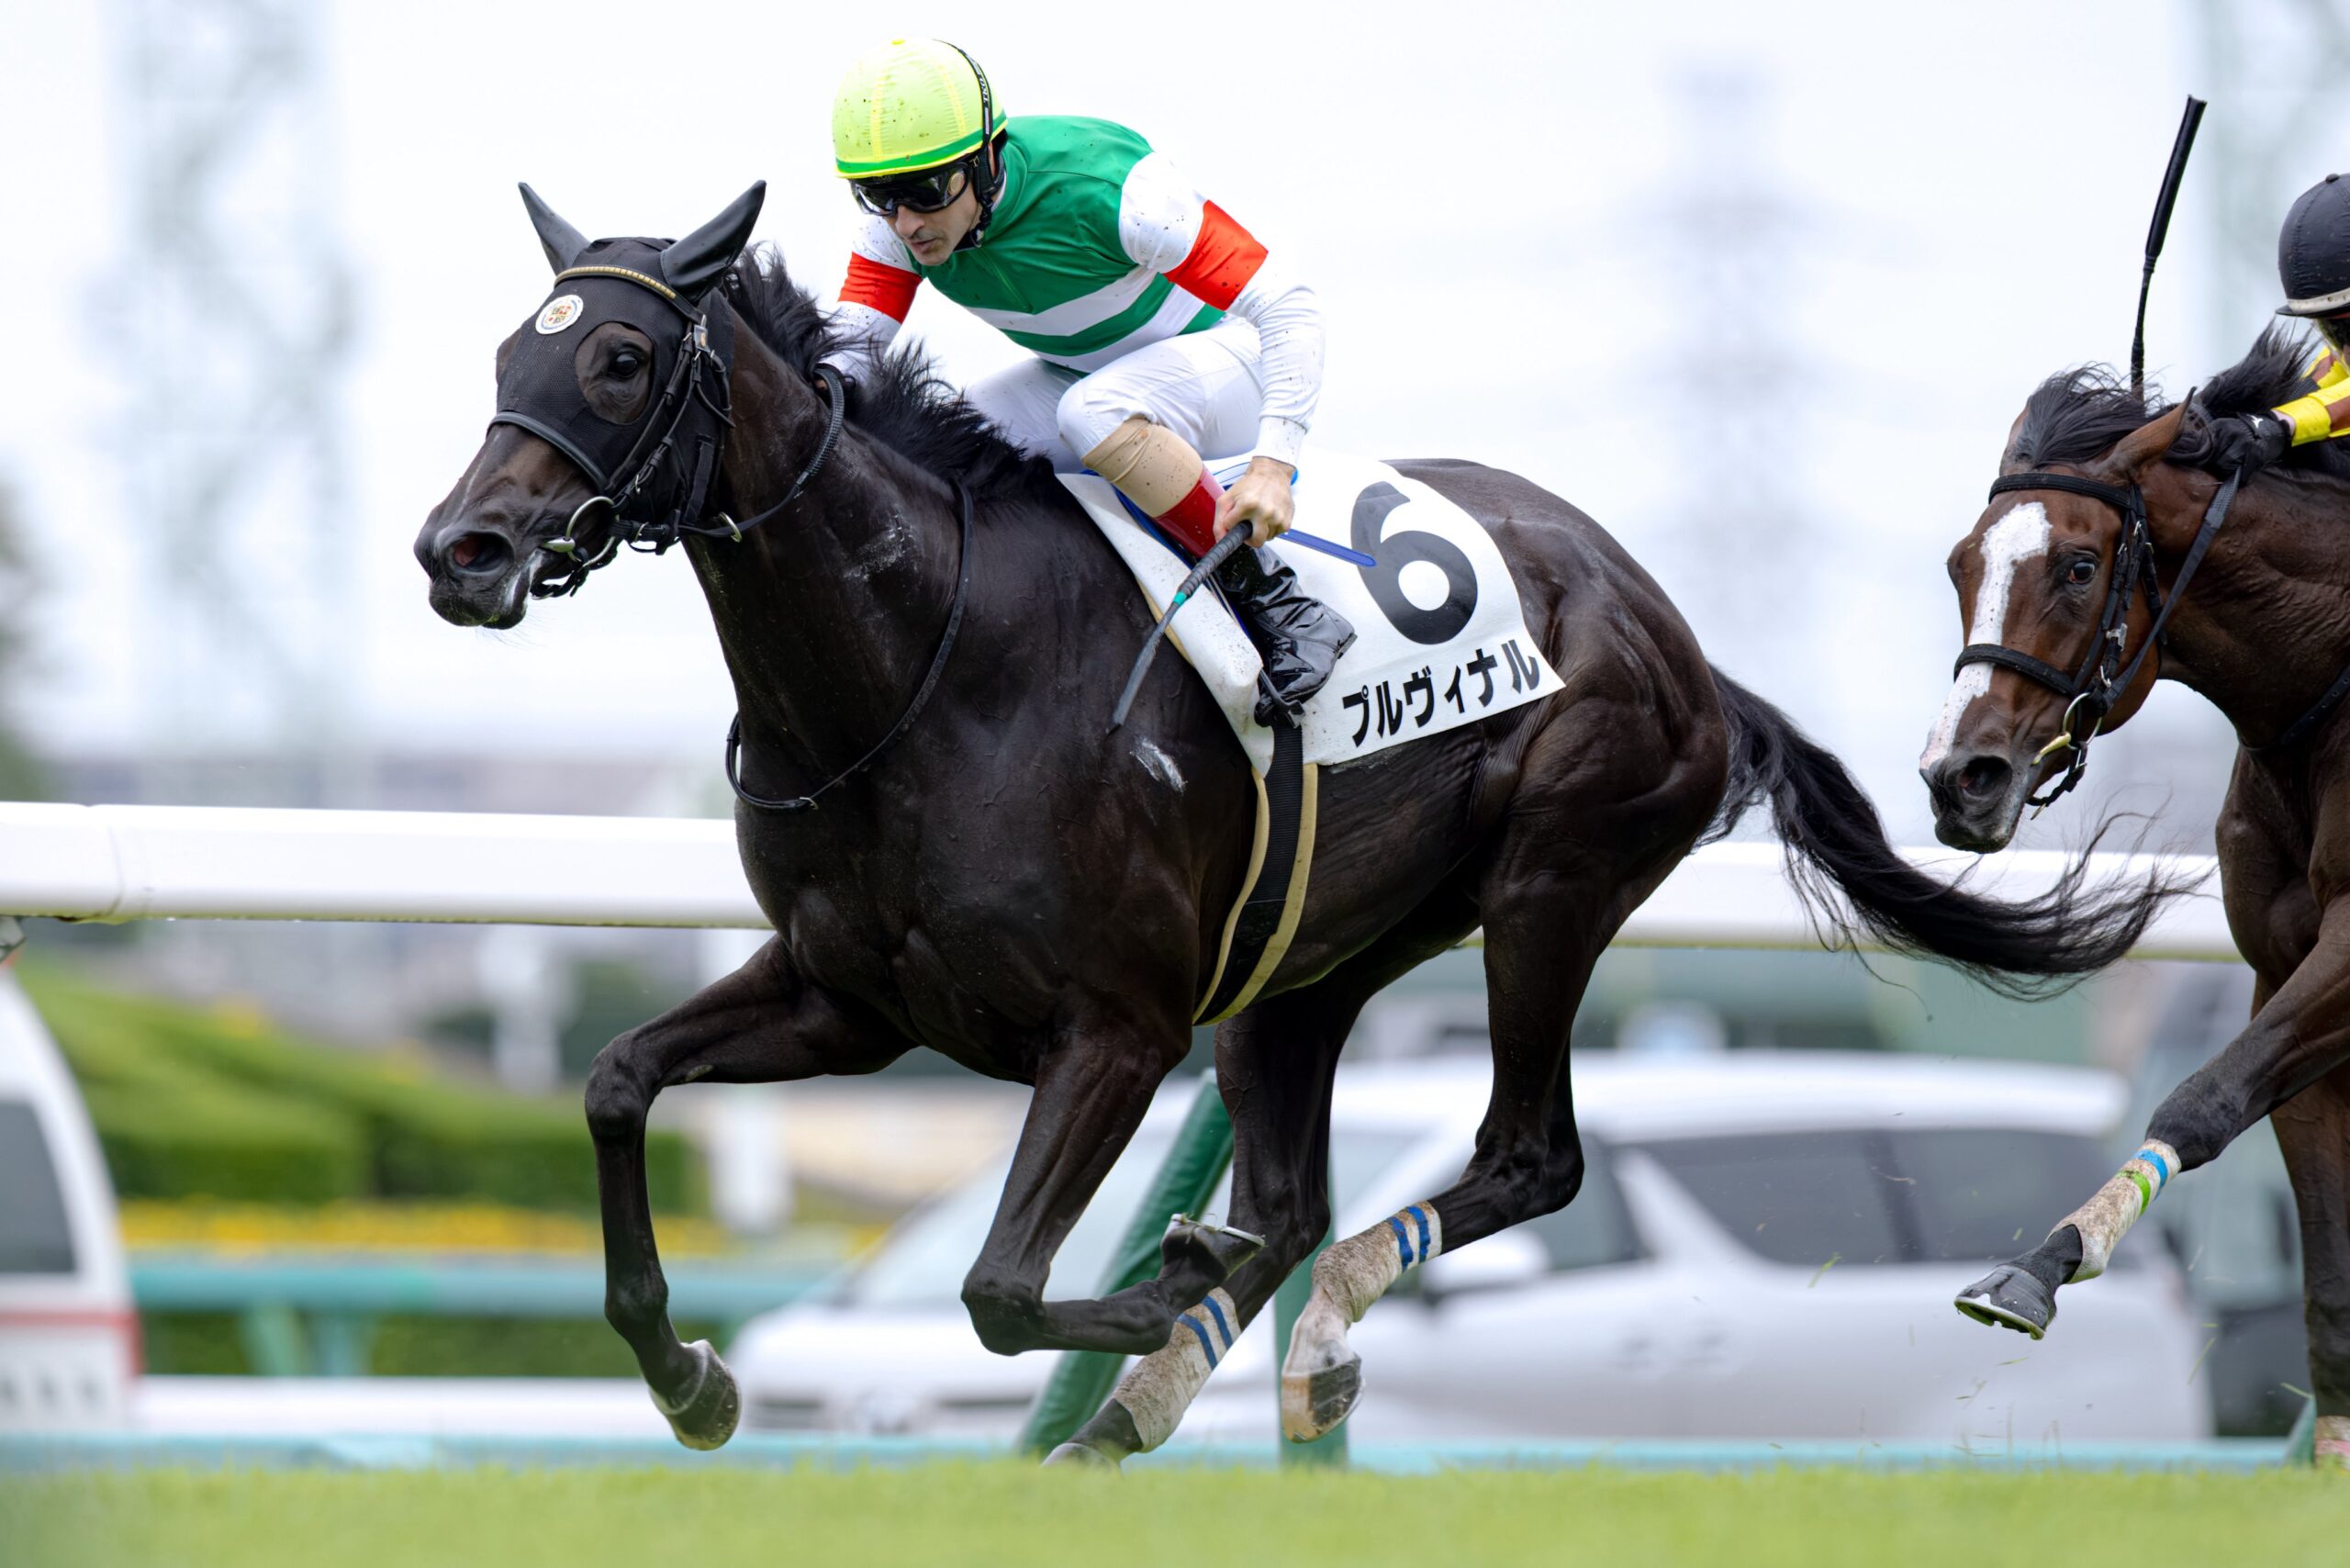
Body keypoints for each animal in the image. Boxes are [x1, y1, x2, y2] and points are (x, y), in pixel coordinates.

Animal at [416, 183, 2174, 1465]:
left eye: (620, 362)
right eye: (509, 355)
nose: (461, 548)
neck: (924, 670)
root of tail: (1676, 634)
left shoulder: (1115, 1026)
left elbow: (998, 1285)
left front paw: (1153, 1292)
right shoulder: (846, 998)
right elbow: (614, 1082)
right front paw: (686, 1373)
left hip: (1551, 878)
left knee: (1516, 1160)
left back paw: (1282, 1333)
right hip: (1304, 970)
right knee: (1289, 1197)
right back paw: (1155, 1394)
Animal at [1924, 330, 2350, 1468]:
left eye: (2078, 567)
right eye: (1961, 565)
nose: (1958, 778)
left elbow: (2201, 1097)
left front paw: (2043, 1265)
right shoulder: (2283, 972)